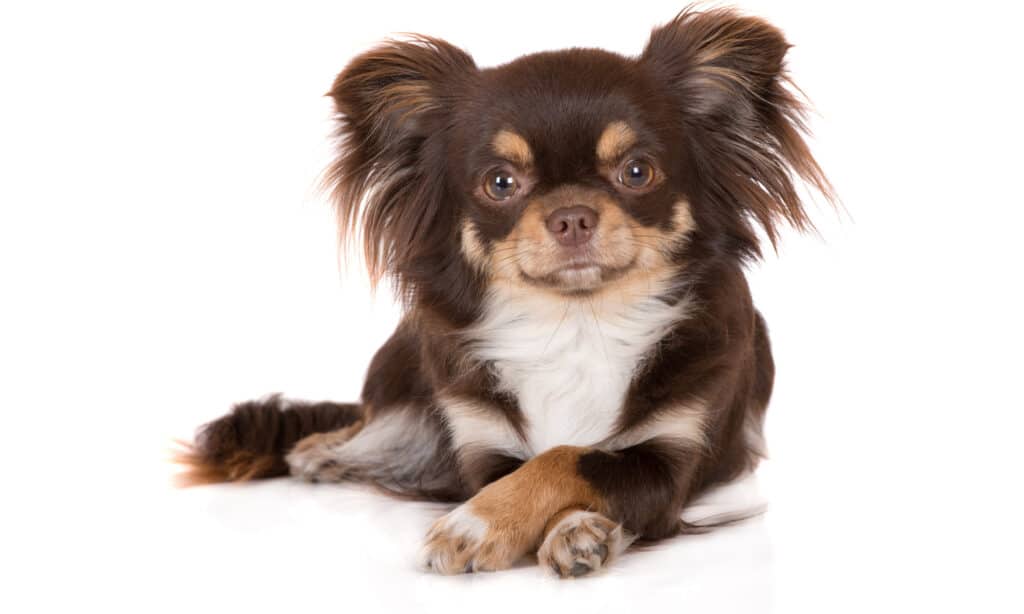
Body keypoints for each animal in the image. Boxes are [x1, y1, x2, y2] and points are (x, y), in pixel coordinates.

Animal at [176, 7, 831, 577]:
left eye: (637, 172)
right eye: (500, 183)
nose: (571, 216)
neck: (578, 323)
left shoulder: (674, 459)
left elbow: (569, 459)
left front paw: (557, 529)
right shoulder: (483, 449)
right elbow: (539, 464)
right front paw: (490, 519)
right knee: (371, 415)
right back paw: (327, 445)